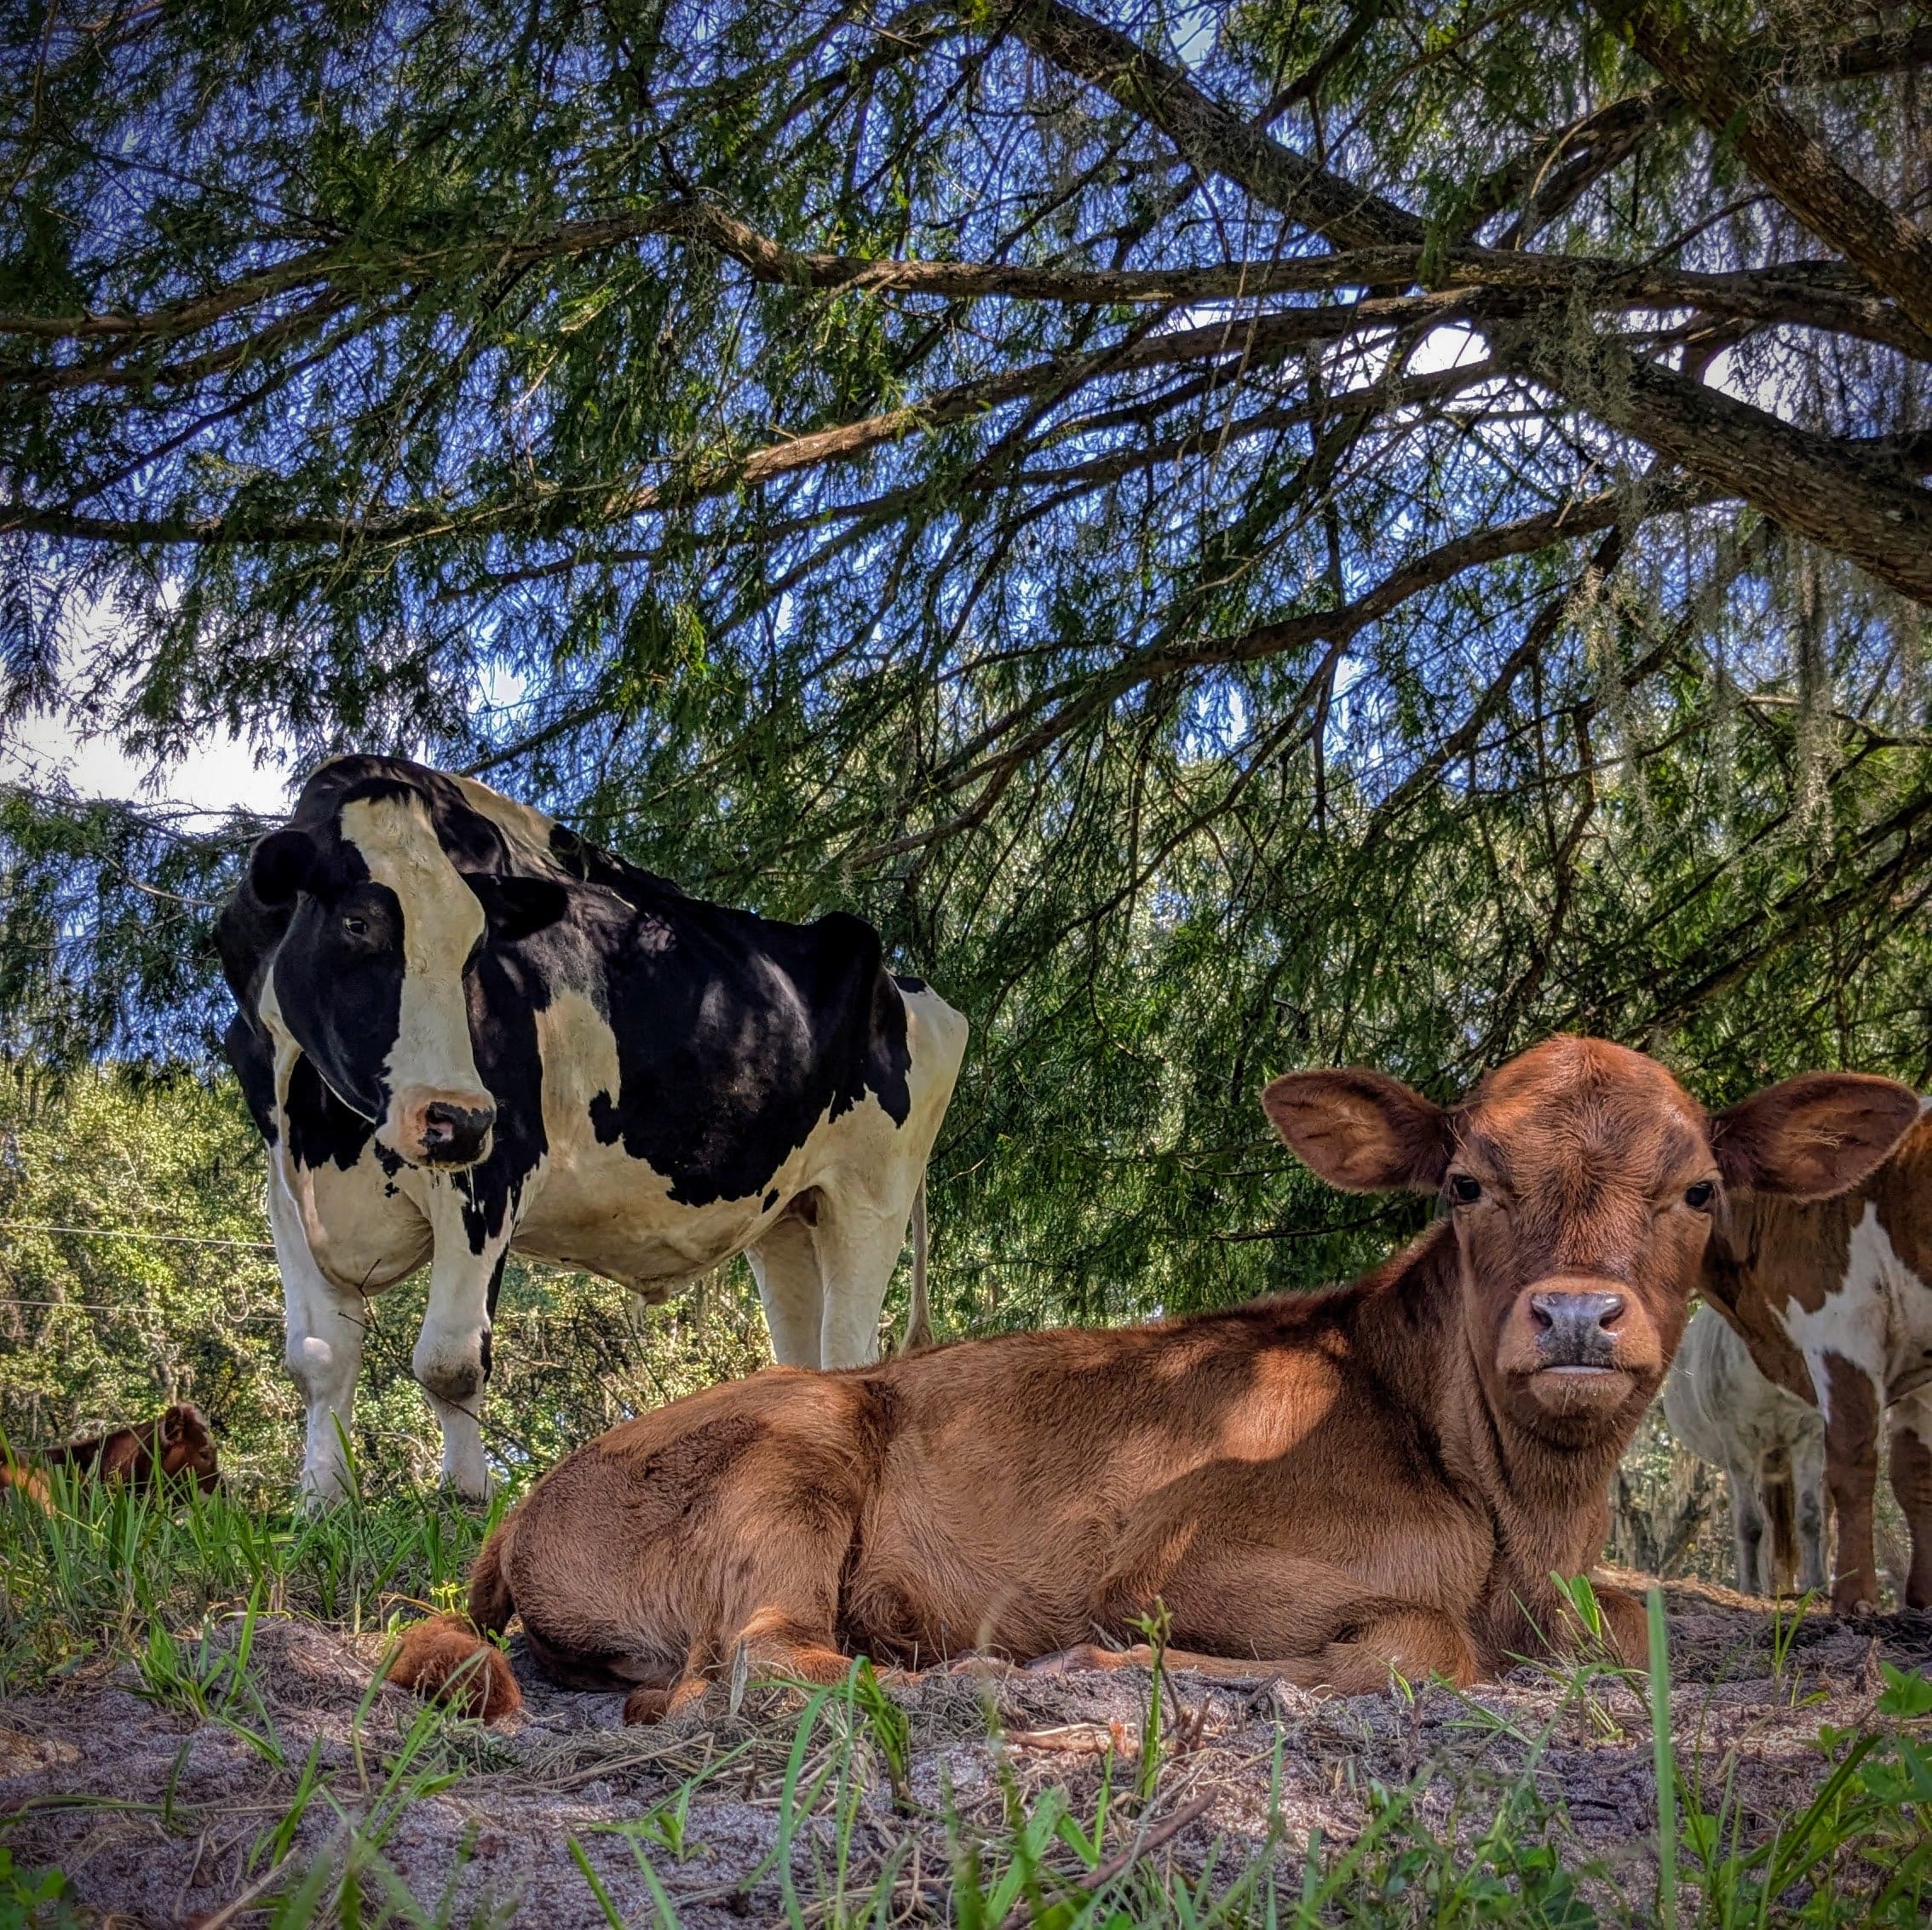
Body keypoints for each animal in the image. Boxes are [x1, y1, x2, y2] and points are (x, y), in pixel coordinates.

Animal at [217, 756, 967, 1503]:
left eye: (477, 948)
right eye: (357, 923)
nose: (457, 1117)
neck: (321, 1118)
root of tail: (905, 979)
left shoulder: (495, 1170)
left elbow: (449, 1362)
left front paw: (464, 1502)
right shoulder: (287, 1190)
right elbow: (318, 1361)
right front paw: (323, 1504)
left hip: (870, 1194)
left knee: (851, 1351)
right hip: (787, 1216)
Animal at [1661, 1304, 1827, 1598]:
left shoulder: (1809, 1435)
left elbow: (1809, 1515)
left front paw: (1816, 1586)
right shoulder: (1738, 1443)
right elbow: (1749, 1523)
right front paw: (1751, 1588)